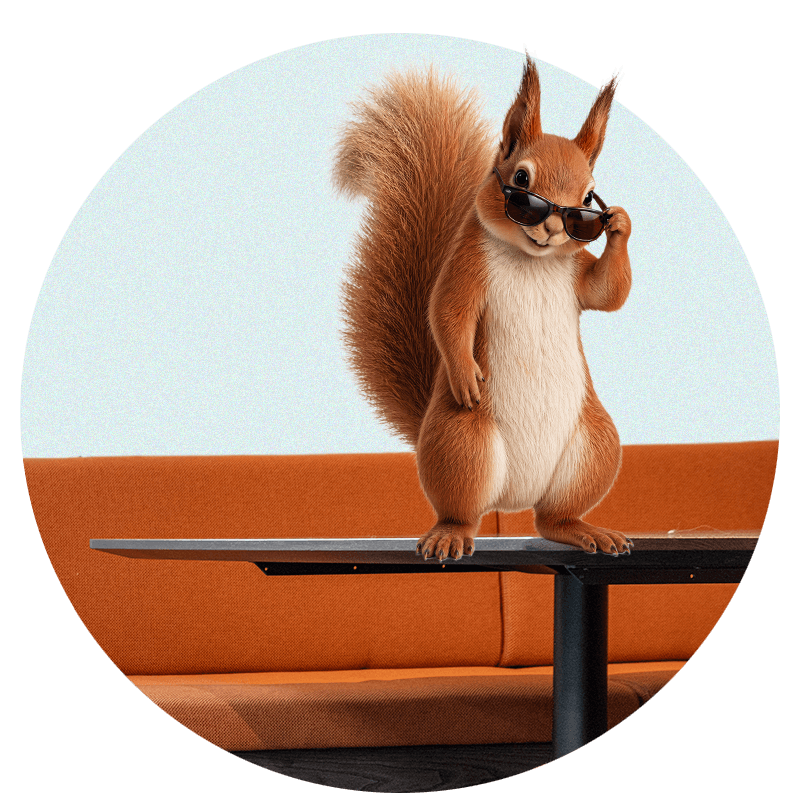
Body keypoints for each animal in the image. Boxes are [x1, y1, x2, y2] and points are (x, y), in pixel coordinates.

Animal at [333, 47, 633, 561]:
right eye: (521, 179)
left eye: (588, 198)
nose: (554, 227)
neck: (531, 257)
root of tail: (510, 500)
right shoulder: (466, 266)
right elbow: (446, 311)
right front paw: (464, 373)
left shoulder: (577, 272)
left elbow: (606, 293)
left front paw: (622, 223)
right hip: (462, 444)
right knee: (462, 511)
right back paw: (451, 533)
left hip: (594, 447)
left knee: (551, 520)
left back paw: (583, 530)